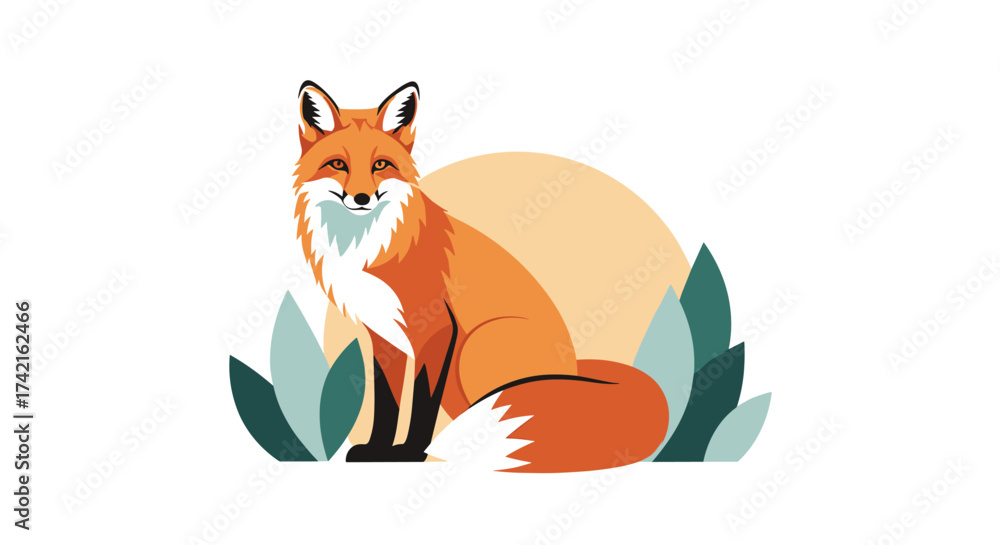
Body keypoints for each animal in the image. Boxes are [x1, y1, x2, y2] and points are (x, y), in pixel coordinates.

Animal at [292, 81, 669, 472]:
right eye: (338, 164)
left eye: (380, 164)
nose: (362, 198)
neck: (366, 246)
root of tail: (575, 369)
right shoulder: (383, 334)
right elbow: (387, 402)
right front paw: (378, 451)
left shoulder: (437, 330)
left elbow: (422, 400)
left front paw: (410, 452)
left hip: (476, 351)